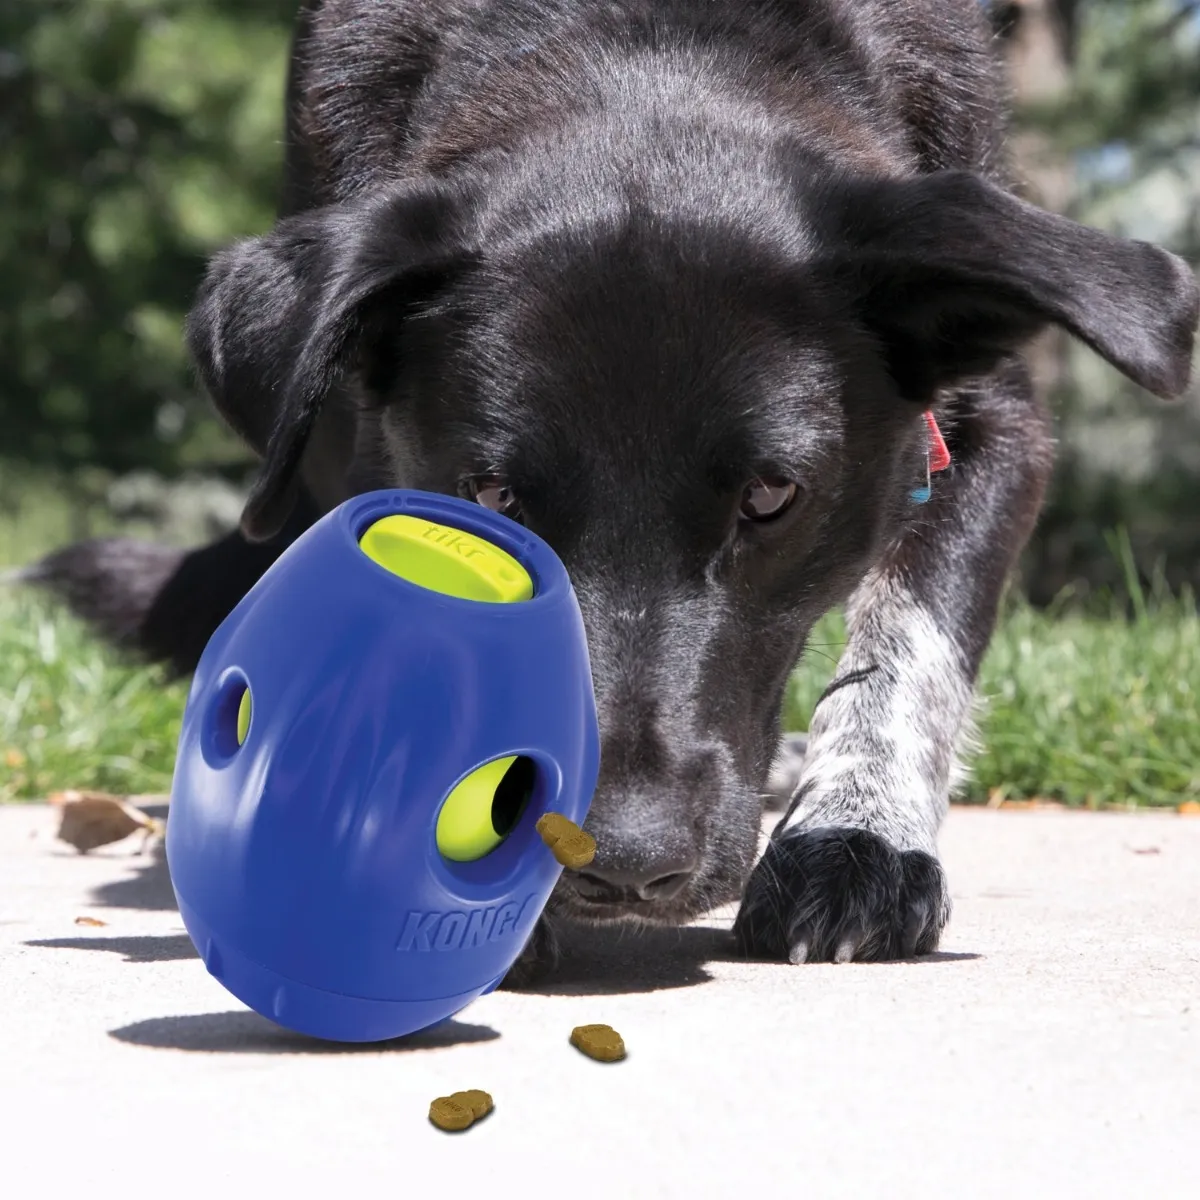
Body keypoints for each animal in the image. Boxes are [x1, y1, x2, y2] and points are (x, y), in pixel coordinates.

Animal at [25, 2, 1190, 974]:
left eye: (771, 497)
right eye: (492, 497)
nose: (623, 860)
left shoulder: (992, 424)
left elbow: (910, 651)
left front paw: (852, 841)